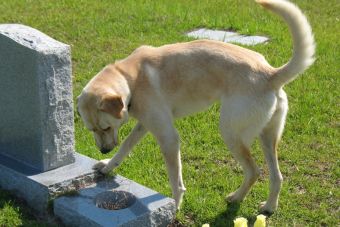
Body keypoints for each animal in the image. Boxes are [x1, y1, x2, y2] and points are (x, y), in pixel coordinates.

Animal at [76, 0, 314, 215]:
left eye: (105, 128)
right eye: (91, 130)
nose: (103, 150)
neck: (129, 78)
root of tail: (270, 74)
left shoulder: (169, 139)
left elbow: (175, 181)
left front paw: (174, 207)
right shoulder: (145, 126)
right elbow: (125, 147)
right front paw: (107, 166)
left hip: (231, 133)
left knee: (254, 171)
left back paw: (237, 197)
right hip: (267, 138)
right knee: (276, 176)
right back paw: (269, 206)